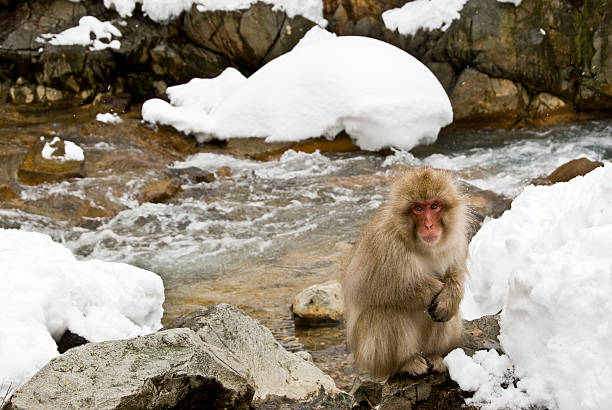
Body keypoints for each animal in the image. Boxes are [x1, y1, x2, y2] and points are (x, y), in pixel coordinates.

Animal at [344, 167, 468, 378]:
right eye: (418, 208)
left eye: (434, 206)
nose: (429, 225)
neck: (422, 246)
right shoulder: (383, 243)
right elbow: (368, 289)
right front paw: (434, 288)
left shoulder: (456, 240)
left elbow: (455, 271)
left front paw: (449, 296)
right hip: (370, 356)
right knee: (387, 311)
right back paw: (406, 363)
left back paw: (434, 356)